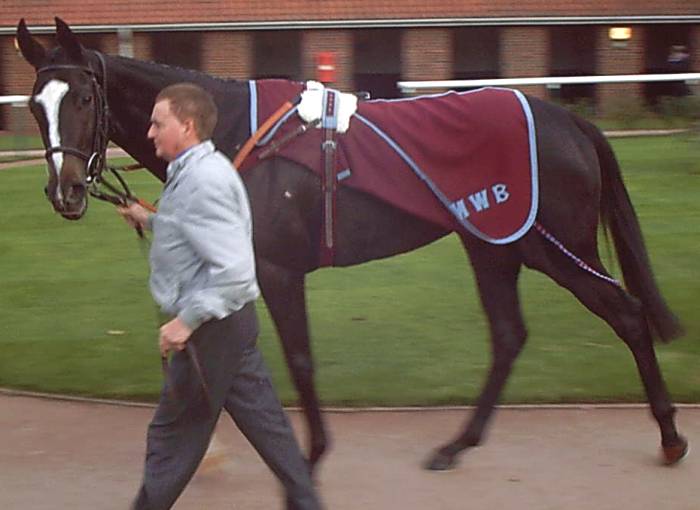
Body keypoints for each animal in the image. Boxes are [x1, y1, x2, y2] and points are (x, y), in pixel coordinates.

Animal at [16, 17, 688, 472]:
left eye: (83, 98)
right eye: (34, 105)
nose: (64, 191)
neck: (231, 135)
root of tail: (568, 120)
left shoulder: (277, 269)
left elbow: (298, 359)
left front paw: (309, 456)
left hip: (549, 246)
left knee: (627, 315)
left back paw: (670, 436)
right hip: (494, 246)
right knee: (508, 336)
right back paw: (457, 444)